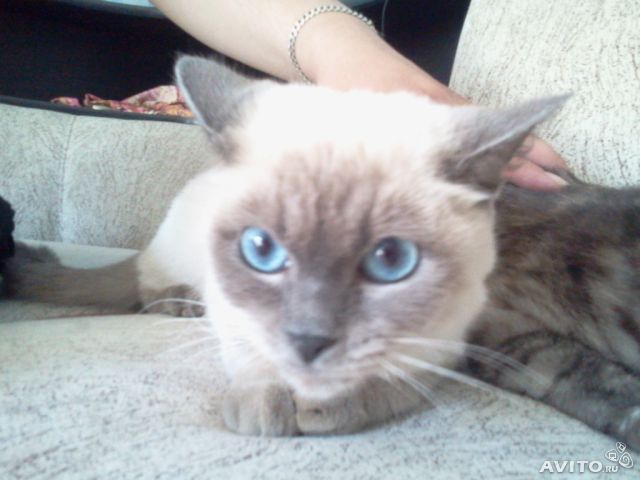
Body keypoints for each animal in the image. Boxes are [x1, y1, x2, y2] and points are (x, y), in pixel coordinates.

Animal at [3, 57, 639, 448]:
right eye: (261, 249)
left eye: (391, 261)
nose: (311, 339)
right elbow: (255, 355)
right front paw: (264, 406)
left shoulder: (457, 334)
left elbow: (394, 375)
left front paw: (333, 404)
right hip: (179, 246)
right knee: (143, 283)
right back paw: (180, 302)